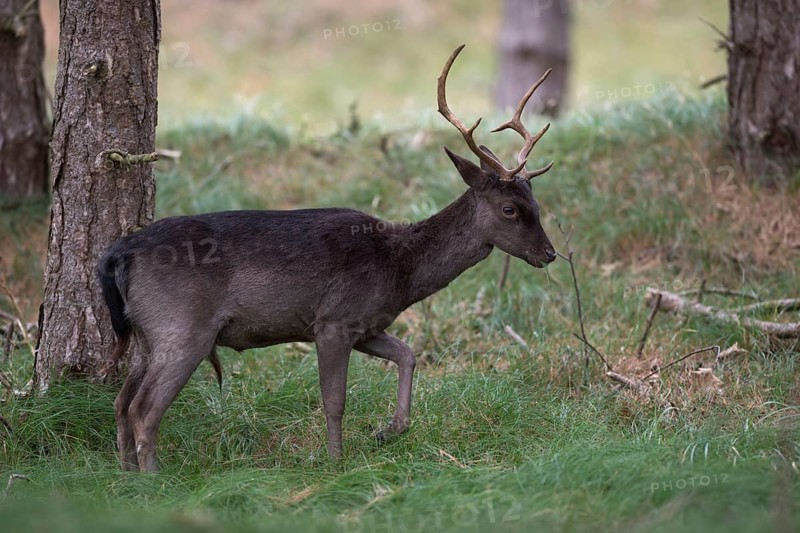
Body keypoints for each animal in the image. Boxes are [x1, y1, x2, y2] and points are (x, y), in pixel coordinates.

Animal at [97, 44, 558, 472]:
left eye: (536, 201)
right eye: (510, 209)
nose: (550, 253)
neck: (400, 271)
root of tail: (119, 252)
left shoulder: (367, 324)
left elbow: (408, 354)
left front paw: (389, 430)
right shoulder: (333, 320)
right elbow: (334, 400)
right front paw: (337, 462)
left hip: (146, 332)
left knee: (121, 402)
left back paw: (126, 474)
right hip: (183, 326)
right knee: (143, 408)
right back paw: (154, 478)